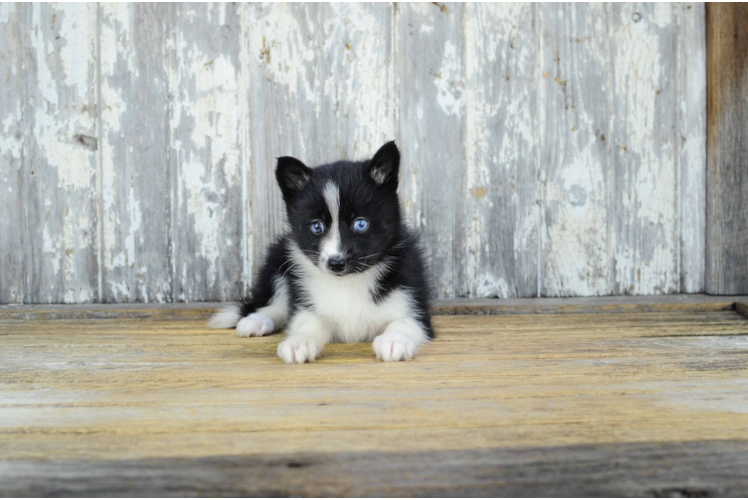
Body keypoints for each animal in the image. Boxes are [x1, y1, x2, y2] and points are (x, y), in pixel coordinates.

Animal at [209, 141, 432, 364]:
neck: (347, 283)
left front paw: (394, 341)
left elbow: (405, 322)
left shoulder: (413, 300)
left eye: (361, 224)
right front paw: (299, 342)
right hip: (277, 258)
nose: (336, 263)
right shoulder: (308, 304)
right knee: (278, 302)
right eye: (317, 226)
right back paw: (256, 320)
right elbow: (307, 323)